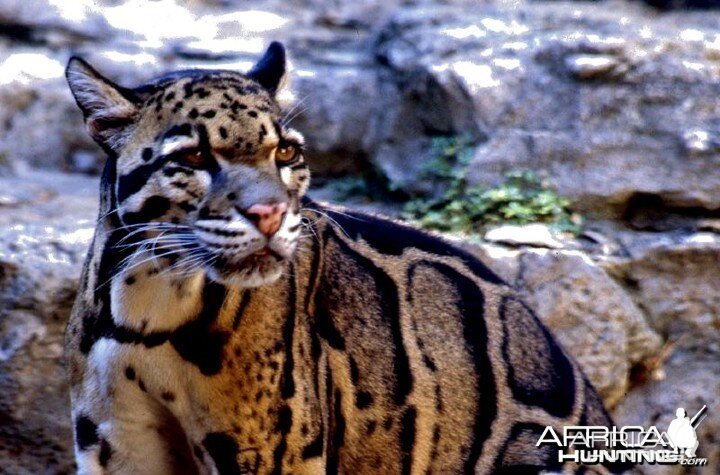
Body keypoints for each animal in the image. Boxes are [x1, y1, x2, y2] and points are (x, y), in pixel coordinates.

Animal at [63, 41, 624, 475]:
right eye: (195, 156)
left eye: (285, 154)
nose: (269, 214)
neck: (151, 303)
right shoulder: (116, 441)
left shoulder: (270, 451)